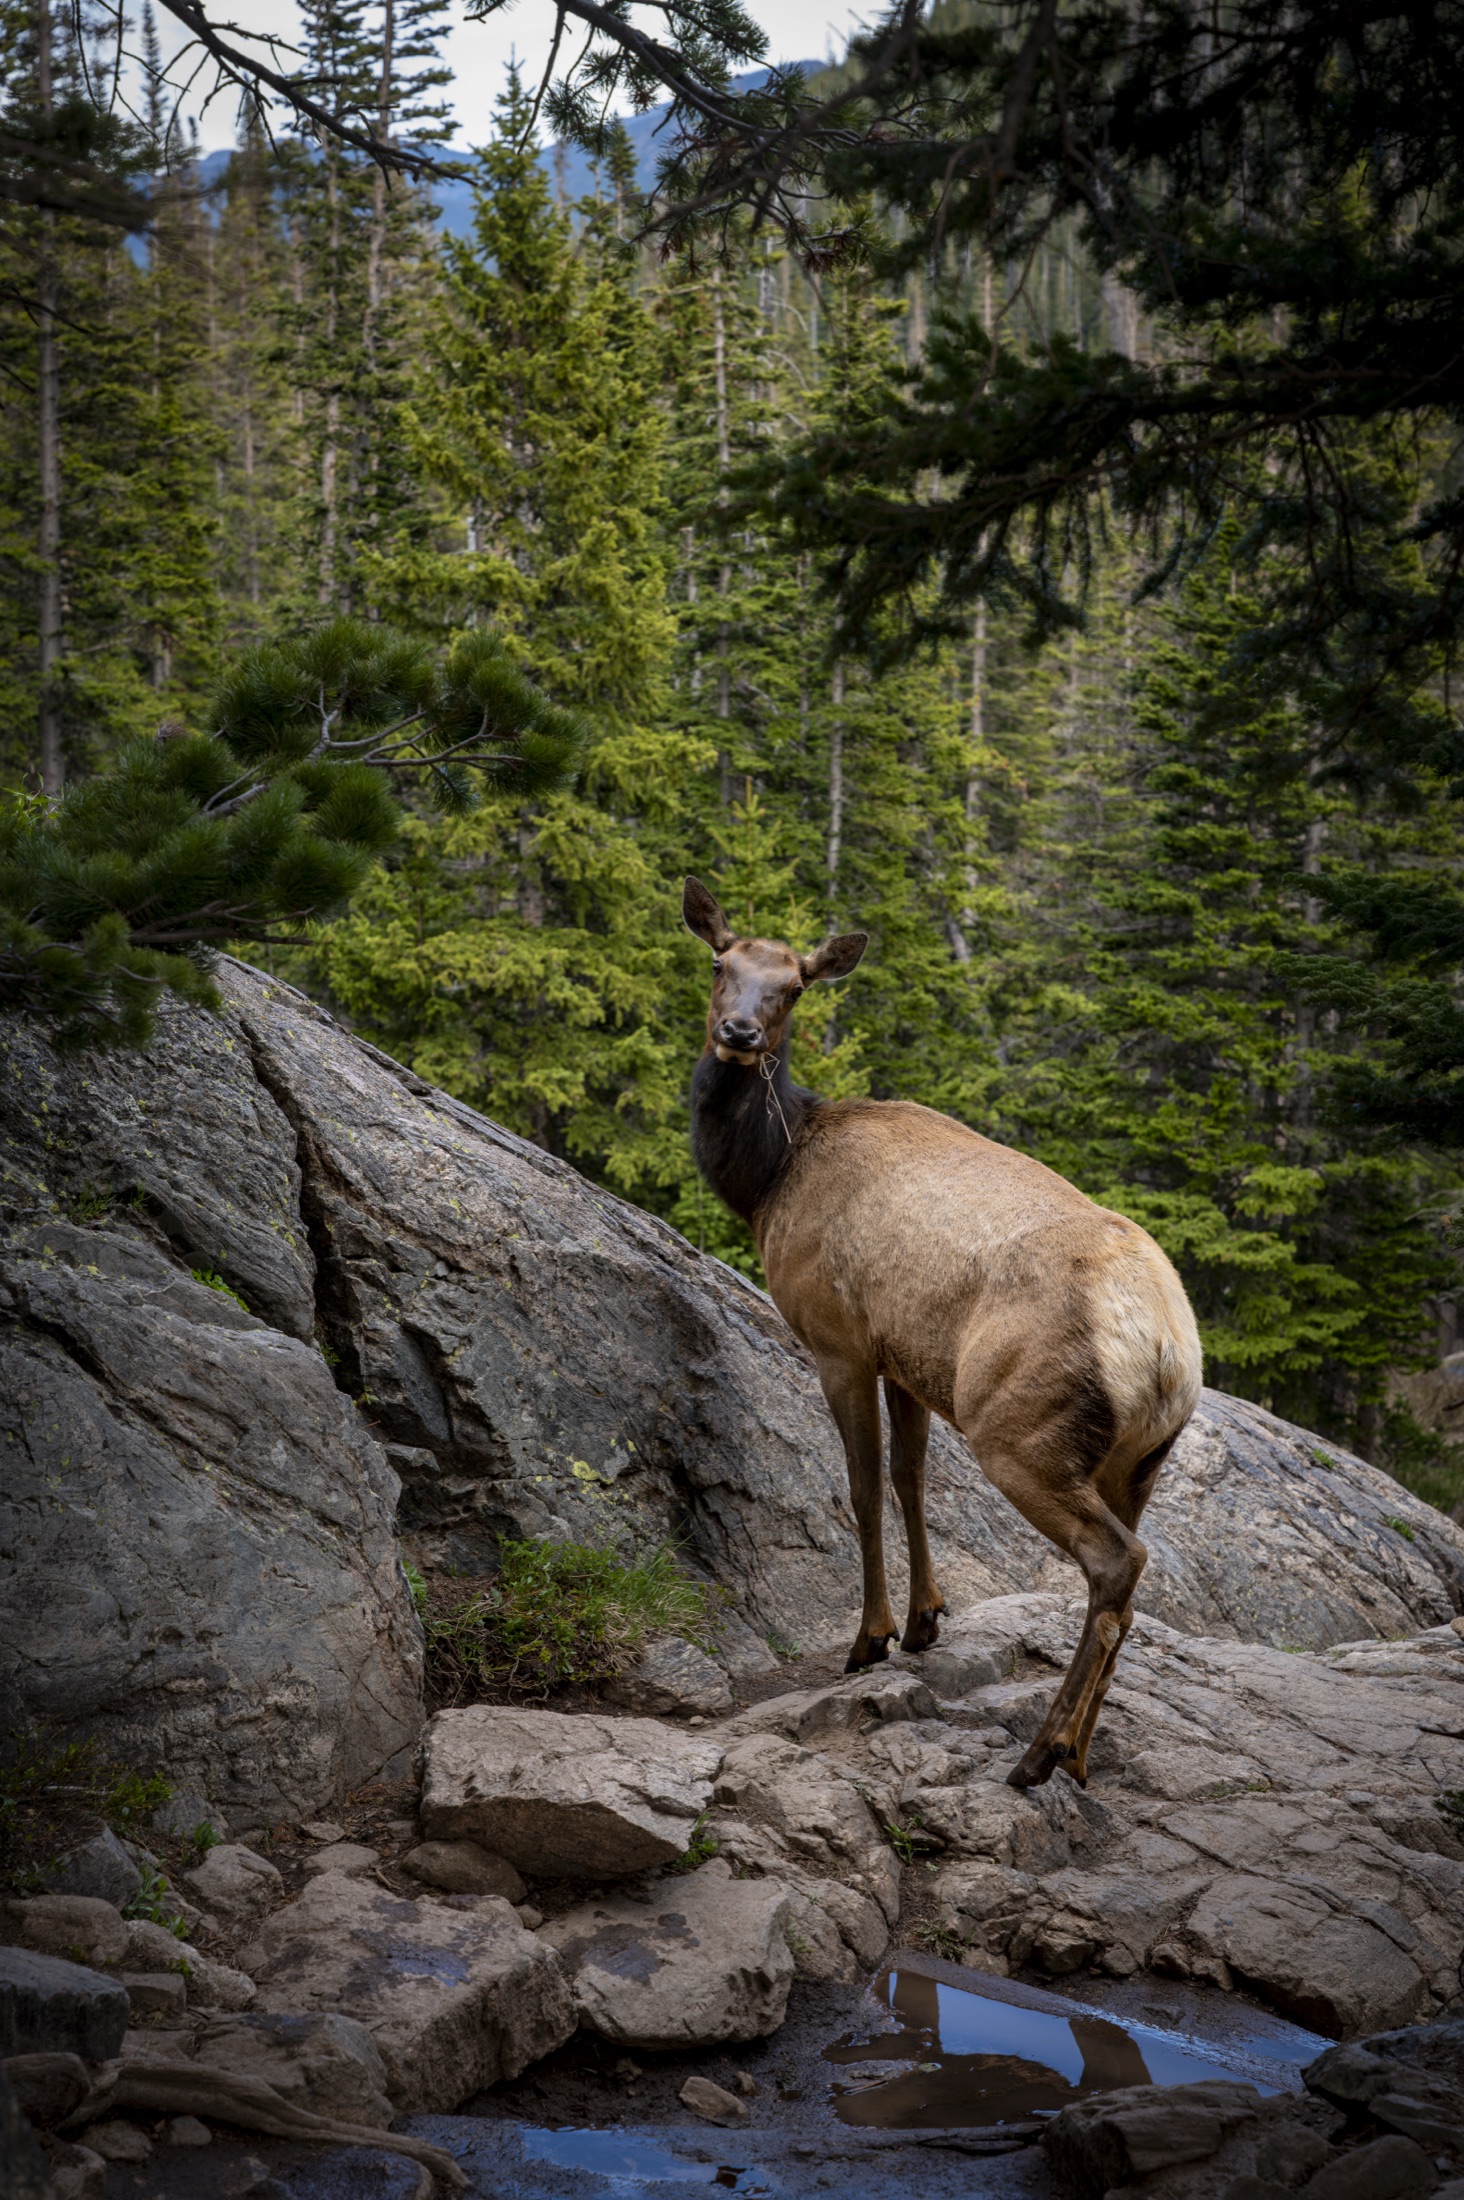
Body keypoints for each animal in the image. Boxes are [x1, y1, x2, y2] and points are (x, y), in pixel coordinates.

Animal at [682, 876, 1203, 1790]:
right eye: (722, 964)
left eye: (794, 986)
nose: (738, 1033)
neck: (767, 1181)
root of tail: (1170, 1352)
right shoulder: (905, 1357)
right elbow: (910, 1479)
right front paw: (927, 1619)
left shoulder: (838, 1337)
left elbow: (860, 1488)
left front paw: (870, 1638)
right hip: (1138, 1459)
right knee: (1130, 1589)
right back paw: (1078, 1754)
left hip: (1019, 1430)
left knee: (1118, 1565)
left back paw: (1038, 1754)